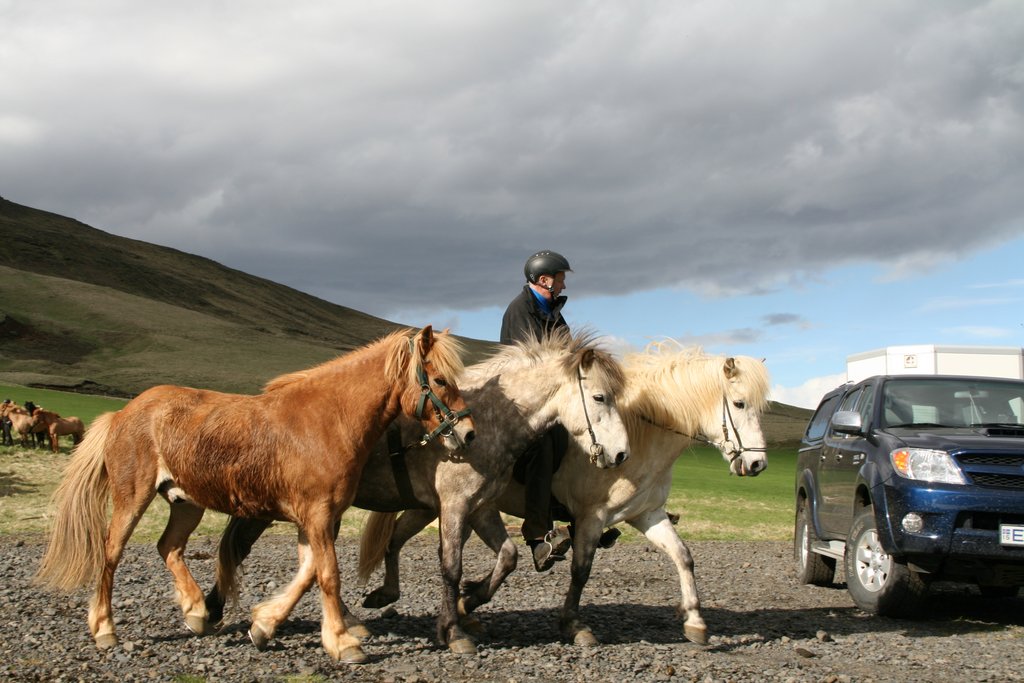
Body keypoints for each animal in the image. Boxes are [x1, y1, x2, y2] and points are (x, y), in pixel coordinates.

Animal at [34, 326, 475, 665]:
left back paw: (196, 610)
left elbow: (308, 573)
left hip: (186, 502)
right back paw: (105, 629)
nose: (468, 433)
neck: (328, 420)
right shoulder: (316, 515)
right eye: (440, 380)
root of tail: (122, 414)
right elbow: (327, 575)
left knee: (169, 547)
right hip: (132, 497)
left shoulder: (319, 517)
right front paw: (342, 643)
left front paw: (263, 625)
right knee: (110, 553)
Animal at [205, 330, 632, 654]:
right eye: (599, 397)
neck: (493, 421)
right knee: (243, 547)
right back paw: (211, 611)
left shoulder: (479, 507)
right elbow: (450, 565)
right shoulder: (455, 505)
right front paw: (453, 630)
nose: (620, 454)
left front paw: (466, 602)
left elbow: (507, 557)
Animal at [358, 343, 770, 647]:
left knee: (394, 539)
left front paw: (696, 622)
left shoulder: (648, 514)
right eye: (739, 404)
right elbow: (581, 571)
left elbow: (684, 557)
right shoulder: (590, 517)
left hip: (431, 507)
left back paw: (393, 596)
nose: (757, 465)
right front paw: (573, 624)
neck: (642, 436)